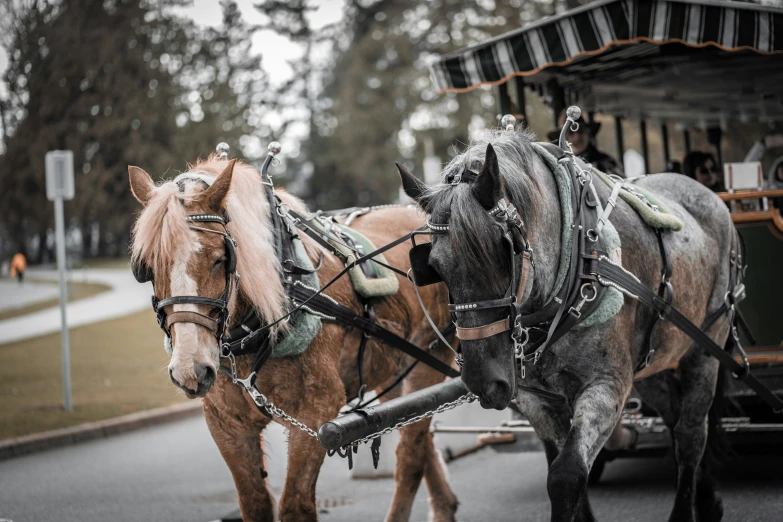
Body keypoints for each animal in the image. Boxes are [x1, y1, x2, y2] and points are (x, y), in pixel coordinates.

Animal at [129, 156, 460, 516]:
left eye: (220, 259)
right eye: (147, 267)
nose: (191, 369)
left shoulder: (316, 413)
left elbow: (295, 505)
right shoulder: (227, 424)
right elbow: (255, 503)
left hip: (430, 358)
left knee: (411, 454)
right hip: (395, 370)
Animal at [398, 127, 736, 520]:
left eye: (504, 249)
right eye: (434, 265)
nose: (485, 380)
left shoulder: (606, 385)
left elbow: (566, 475)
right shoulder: (537, 398)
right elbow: (563, 465)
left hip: (706, 346)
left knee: (691, 432)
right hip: (652, 363)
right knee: (676, 417)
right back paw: (707, 497)